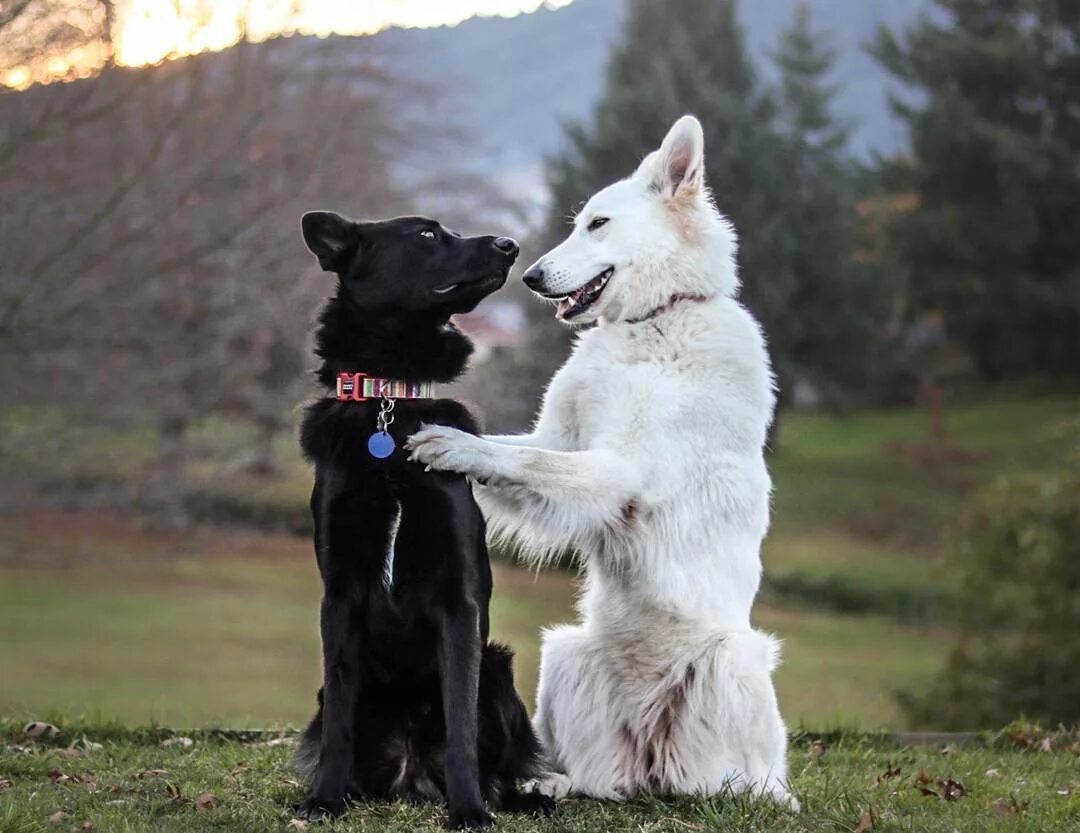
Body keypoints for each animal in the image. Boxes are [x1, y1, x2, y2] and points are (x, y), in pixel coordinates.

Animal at [293, 213, 548, 825]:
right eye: (427, 235)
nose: (510, 245)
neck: (391, 405)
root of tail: (410, 773)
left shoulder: (458, 600)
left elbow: (460, 719)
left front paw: (469, 811)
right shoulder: (340, 594)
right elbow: (339, 718)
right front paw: (324, 799)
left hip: (498, 668)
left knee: (499, 763)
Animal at [406, 117, 794, 808]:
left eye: (599, 224)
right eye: (578, 222)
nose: (530, 276)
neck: (656, 320)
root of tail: (650, 760)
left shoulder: (619, 470)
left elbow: (533, 464)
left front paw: (454, 445)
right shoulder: (563, 438)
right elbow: (520, 452)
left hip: (731, 662)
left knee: (736, 780)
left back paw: (734, 794)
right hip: (564, 654)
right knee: (590, 775)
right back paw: (555, 783)